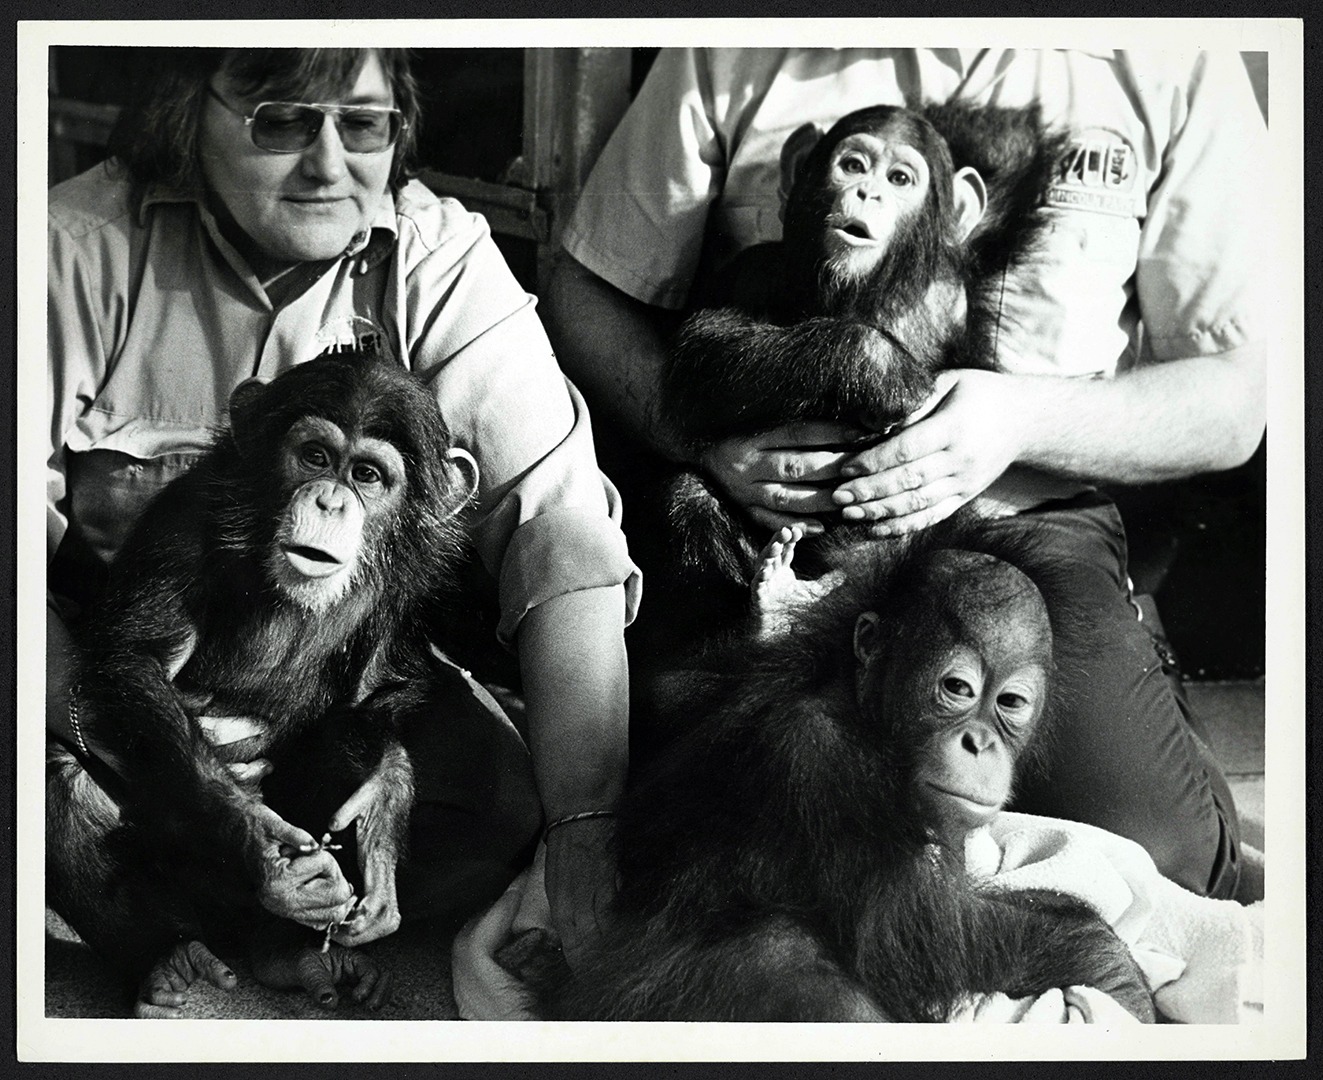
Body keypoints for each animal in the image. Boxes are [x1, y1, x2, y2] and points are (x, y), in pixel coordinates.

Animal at [46, 350, 479, 1017]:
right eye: (316, 457)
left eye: (369, 475)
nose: (330, 500)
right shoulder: (182, 523)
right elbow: (136, 663)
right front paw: (266, 848)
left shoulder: (408, 588)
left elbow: (380, 693)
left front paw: (381, 813)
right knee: (64, 780)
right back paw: (166, 962)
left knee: (333, 746)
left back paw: (295, 954)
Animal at [502, 520, 1154, 1022]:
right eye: (957, 689)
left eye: (1011, 702)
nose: (980, 743)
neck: (867, 718)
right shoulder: (818, 759)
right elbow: (925, 940)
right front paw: (1117, 981)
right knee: (796, 964)